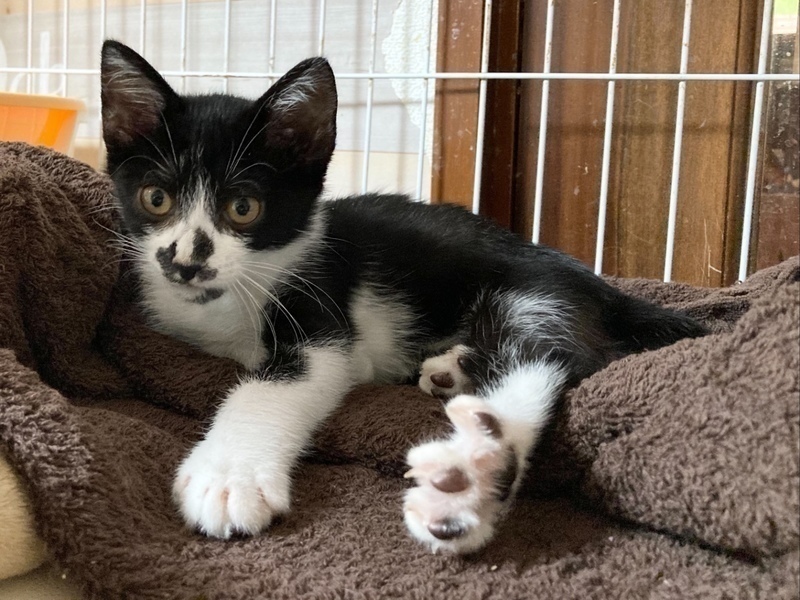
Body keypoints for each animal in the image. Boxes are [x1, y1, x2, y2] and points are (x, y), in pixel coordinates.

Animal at [100, 40, 707, 554]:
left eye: (243, 208)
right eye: (156, 198)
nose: (184, 261)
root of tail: (586, 276)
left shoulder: (321, 312)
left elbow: (272, 385)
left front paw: (228, 478)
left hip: (534, 295)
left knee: (552, 359)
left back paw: (466, 478)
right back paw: (452, 370)